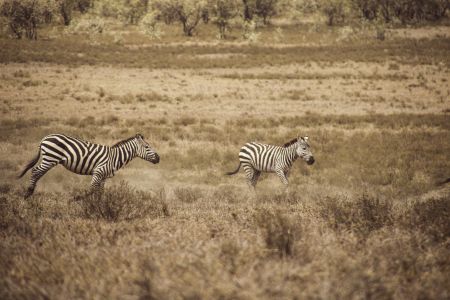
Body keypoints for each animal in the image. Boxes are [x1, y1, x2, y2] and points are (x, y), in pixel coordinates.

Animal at [19, 132, 160, 198]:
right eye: (147, 147)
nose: (158, 158)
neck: (115, 157)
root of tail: (45, 138)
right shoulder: (98, 172)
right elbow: (91, 189)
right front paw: (79, 199)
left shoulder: (104, 176)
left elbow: (99, 192)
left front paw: (101, 206)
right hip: (50, 158)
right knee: (35, 171)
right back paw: (28, 193)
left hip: (49, 158)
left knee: (36, 172)